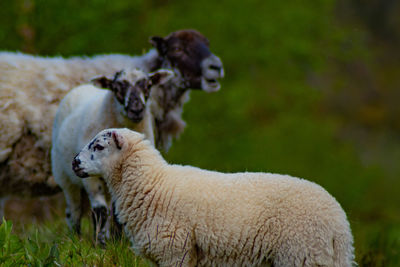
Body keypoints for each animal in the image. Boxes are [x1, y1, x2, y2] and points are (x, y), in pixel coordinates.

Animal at [51, 68, 173, 245]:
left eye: (149, 85)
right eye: (116, 87)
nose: (136, 109)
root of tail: (82, 87)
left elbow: (117, 211)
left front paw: (118, 241)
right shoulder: (91, 179)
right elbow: (100, 211)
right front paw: (100, 244)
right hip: (64, 176)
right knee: (73, 209)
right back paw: (75, 236)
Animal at [72, 129, 354, 266]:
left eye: (99, 146)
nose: (74, 163)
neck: (153, 184)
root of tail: (339, 222)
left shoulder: (175, 251)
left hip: (301, 253)